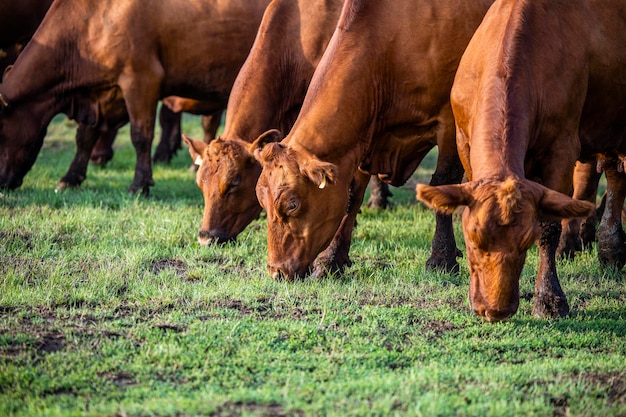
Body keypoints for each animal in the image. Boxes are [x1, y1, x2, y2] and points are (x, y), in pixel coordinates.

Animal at [0, 0, 270, 194]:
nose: (2, 183)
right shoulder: (102, 94)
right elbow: (85, 136)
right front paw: (71, 177)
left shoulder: (141, 79)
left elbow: (141, 136)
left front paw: (140, 184)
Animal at [251, 0, 494, 282]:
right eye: (261, 203)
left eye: (292, 204)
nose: (276, 270)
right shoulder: (362, 139)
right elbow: (351, 195)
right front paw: (332, 258)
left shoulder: (449, 120)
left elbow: (443, 182)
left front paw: (441, 258)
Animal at [414, 0, 624, 320]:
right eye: (472, 239)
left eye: (525, 243)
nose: (495, 310)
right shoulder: (464, 143)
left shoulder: (561, 151)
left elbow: (549, 226)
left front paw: (549, 298)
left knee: (616, 179)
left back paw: (611, 249)